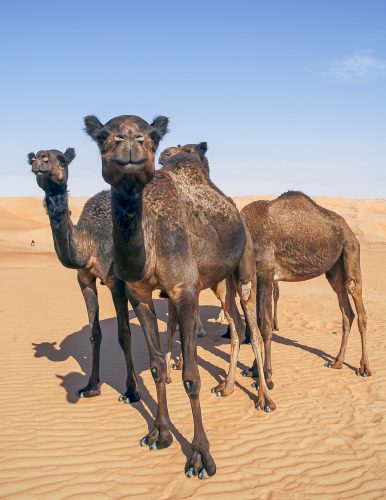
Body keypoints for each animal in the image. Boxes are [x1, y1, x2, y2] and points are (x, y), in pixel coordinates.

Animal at [28, 147, 140, 402]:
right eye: (33, 158)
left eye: (61, 158)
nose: (41, 161)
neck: (91, 241)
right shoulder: (84, 279)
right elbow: (94, 333)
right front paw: (91, 386)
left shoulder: (116, 282)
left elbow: (124, 334)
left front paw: (131, 391)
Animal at [84, 114, 272, 480]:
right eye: (103, 137)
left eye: (150, 136)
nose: (129, 148)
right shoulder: (139, 294)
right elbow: (157, 366)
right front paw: (159, 433)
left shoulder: (184, 292)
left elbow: (191, 376)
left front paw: (200, 457)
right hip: (220, 282)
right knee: (234, 325)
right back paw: (227, 387)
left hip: (244, 271)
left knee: (254, 330)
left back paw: (264, 399)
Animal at [240, 189, 370, 388]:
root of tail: (349, 230)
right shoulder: (255, 279)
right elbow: (258, 323)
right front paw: (254, 370)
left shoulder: (265, 274)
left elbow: (265, 327)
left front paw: (267, 379)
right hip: (334, 270)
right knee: (347, 311)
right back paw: (337, 362)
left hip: (351, 250)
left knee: (358, 303)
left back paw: (364, 367)